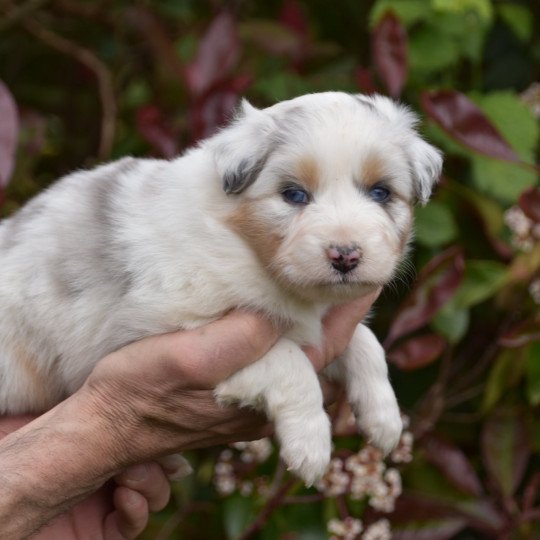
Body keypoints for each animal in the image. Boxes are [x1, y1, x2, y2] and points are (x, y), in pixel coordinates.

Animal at [0, 93, 440, 486]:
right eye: (294, 195)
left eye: (380, 192)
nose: (345, 255)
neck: (246, 247)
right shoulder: (167, 332)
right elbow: (290, 361)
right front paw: (311, 446)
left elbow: (366, 343)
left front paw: (384, 419)